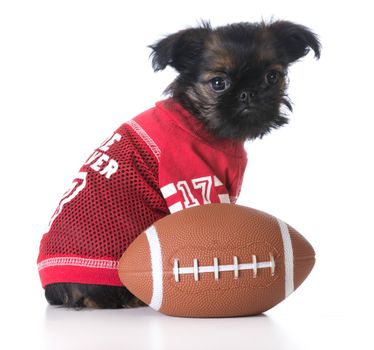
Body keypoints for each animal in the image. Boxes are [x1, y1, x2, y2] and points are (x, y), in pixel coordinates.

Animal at [41, 20, 322, 308]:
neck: (198, 119)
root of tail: (54, 289)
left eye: (272, 77)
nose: (249, 93)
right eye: (218, 83)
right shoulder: (194, 181)